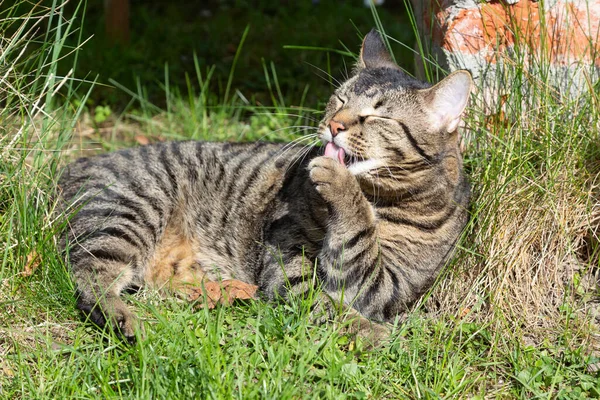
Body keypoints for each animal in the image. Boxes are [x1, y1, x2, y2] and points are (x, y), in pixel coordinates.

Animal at [58, 30, 472, 344]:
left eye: (376, 116)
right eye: (339, 99)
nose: (334, 125)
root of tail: (68, 168)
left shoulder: (390, 285)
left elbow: (354, 252)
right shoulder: (288, 254)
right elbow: (324, 301)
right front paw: (371, 332)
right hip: (133, 209)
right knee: (89, 277)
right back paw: (122, 318)